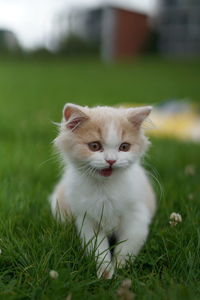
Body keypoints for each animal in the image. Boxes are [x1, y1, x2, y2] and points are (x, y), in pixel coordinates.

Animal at [49, 102, 155, 278]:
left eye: (124, 147)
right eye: (94, 146)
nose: (111, 160)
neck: (105, 188)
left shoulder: (136, 216)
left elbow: (128, 245)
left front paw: (120, 267)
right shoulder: (87, 220)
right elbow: (98, 249)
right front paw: (105, 272)